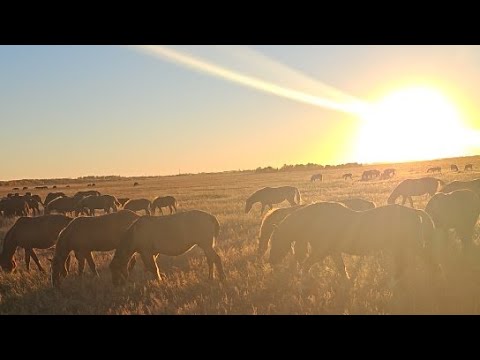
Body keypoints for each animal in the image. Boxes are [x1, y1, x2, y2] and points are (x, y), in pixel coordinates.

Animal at [268, 202, 436, 290]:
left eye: (275, 240)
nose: (271, 262)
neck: (316, 220)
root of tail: (415, 211)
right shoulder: (333, 252)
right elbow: (341, 268)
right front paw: (348, 283)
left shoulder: (321, 251)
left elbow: (306, 265)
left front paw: (303, 283)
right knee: (404, 265)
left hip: (412, 246)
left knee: (426, 261)